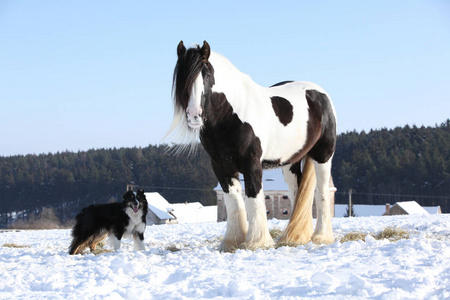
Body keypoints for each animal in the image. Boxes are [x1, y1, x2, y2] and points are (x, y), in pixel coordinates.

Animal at [167, 39, 336, 251]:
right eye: (182, 77)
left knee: (321, 193)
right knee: (297, 194)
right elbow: (234, 202)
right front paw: (232, 242)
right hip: (290, 163)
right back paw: (295, 237)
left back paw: (321, 237)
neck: (231, 115)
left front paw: (257, 242)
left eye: (206, 75)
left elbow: (254, 200)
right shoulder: (221, 167)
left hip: (323, 156)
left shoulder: (252, 165)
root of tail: (319, 94)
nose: (194, 115)